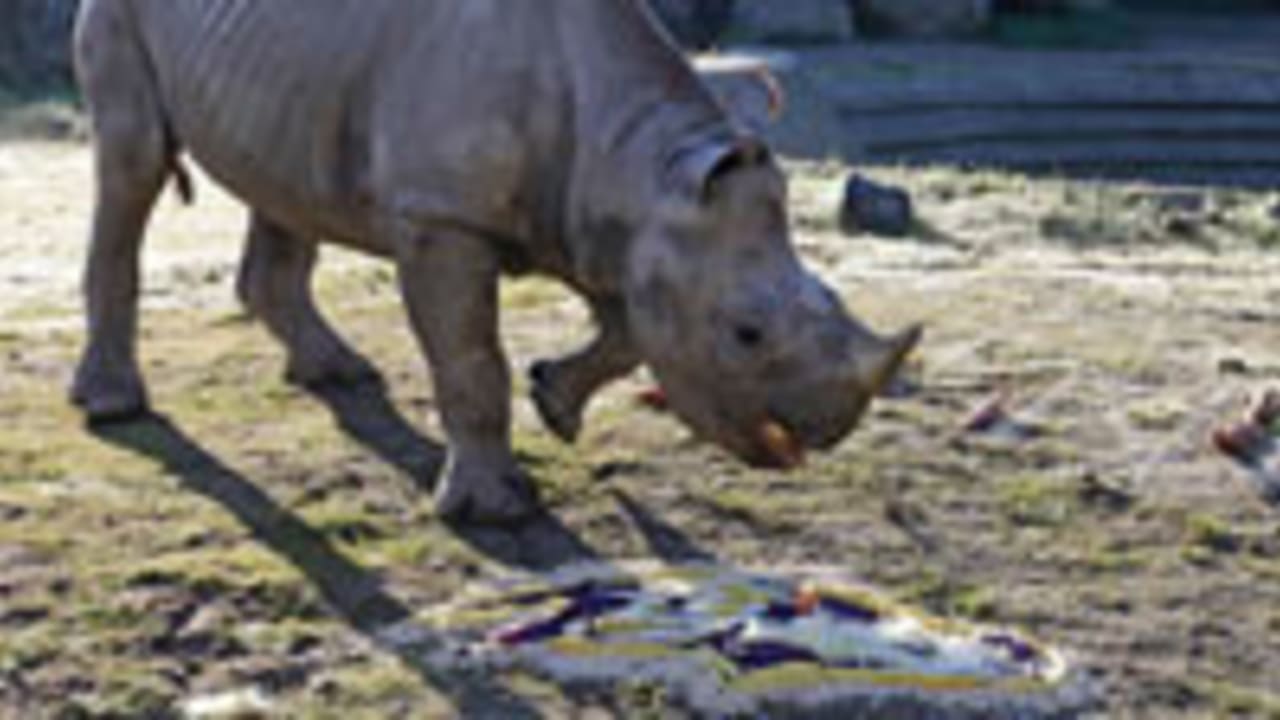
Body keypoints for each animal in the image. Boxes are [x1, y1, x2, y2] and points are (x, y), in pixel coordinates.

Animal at [71, 0, 921, 522]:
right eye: (746, 333)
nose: (831, 431)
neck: (641, 160)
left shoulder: (604, 221)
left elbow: (626, 335)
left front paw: (557, 404)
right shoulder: (439, 214)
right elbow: (473, 360)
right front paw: (494, 511)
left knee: (280, 181)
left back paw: (339, 374)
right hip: (126, 15)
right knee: (133, 159)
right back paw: (114, 407)